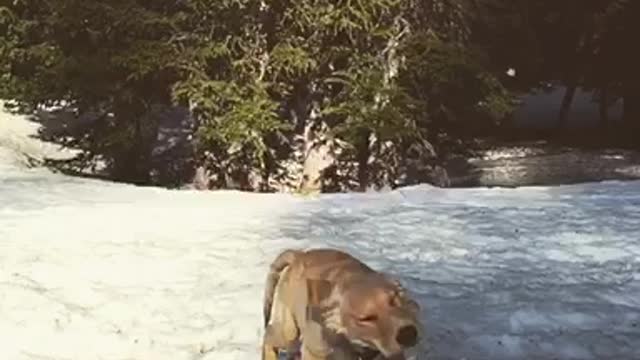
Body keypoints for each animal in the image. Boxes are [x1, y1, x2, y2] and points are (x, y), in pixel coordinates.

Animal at [262, 249, 424, 358]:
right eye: (365, 319)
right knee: (269, 337)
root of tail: (299, 254)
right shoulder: (315, 351)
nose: (409, 334)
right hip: (289, 331)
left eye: (394, 300)